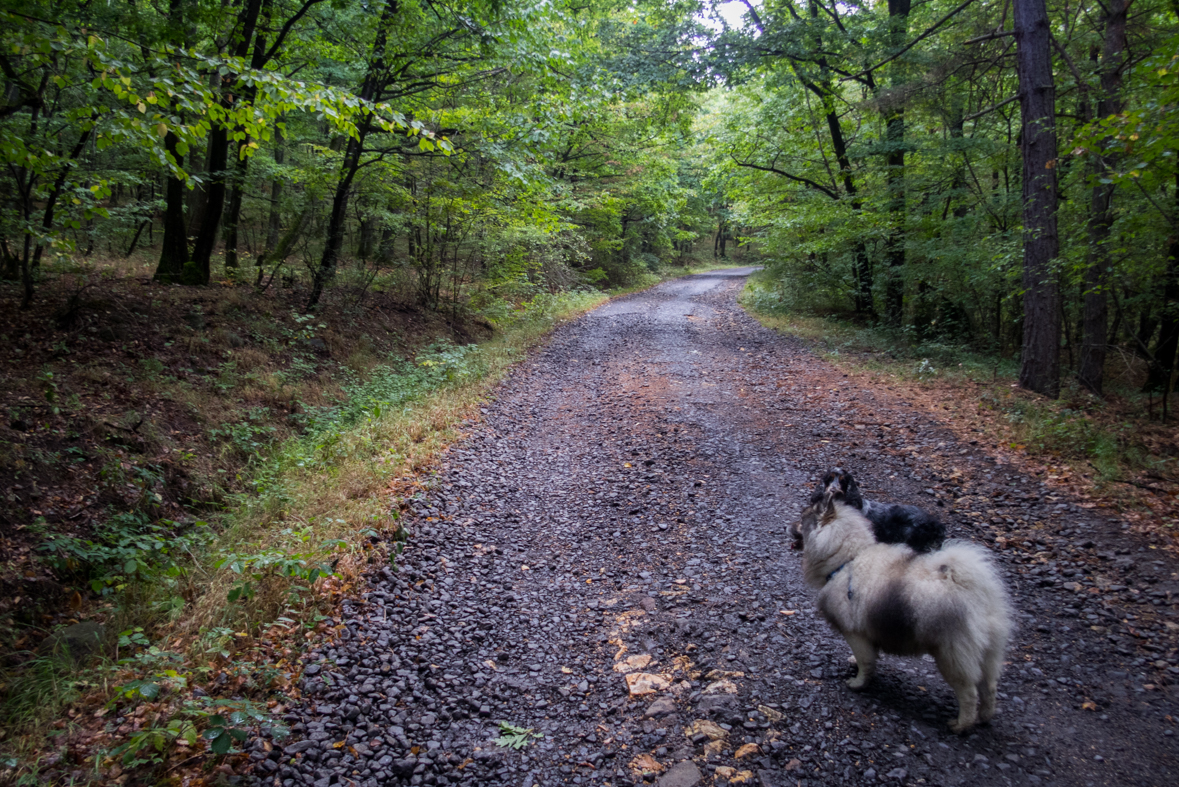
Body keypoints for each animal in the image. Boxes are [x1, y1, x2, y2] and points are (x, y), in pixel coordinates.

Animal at [797, 483, 1009, 735]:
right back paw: (985, 717)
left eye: (802, 520)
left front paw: (858, 683)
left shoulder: (854, 633)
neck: (847, 560)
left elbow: (866, 663)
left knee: (969, 693)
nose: (789, 527)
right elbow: (866, 657)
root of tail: (977, 594)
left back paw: (961, 725)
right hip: (988, 654)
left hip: (951, 657)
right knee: (990, 687)